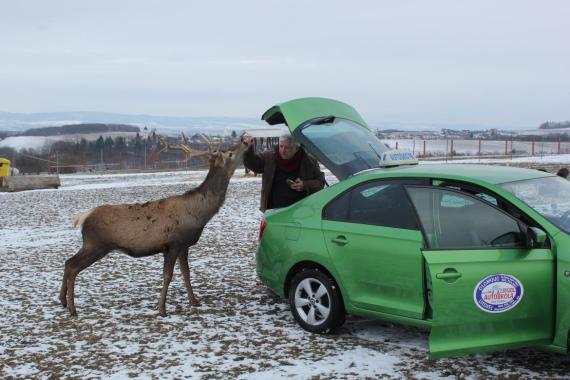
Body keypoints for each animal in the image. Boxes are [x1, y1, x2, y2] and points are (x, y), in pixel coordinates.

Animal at [58, 138, 247, 316]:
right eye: (230, 154)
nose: (246, 140)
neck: (199, 214)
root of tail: (83, 217)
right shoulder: (172, 244)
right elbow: (168, 275)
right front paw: (162, 309)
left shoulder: (184, 245)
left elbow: (186, 273)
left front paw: (194, 301)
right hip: (96, 244)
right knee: (72, 266)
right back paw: (72, 309)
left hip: (91, 244)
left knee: (68, 262)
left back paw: (63, 301)